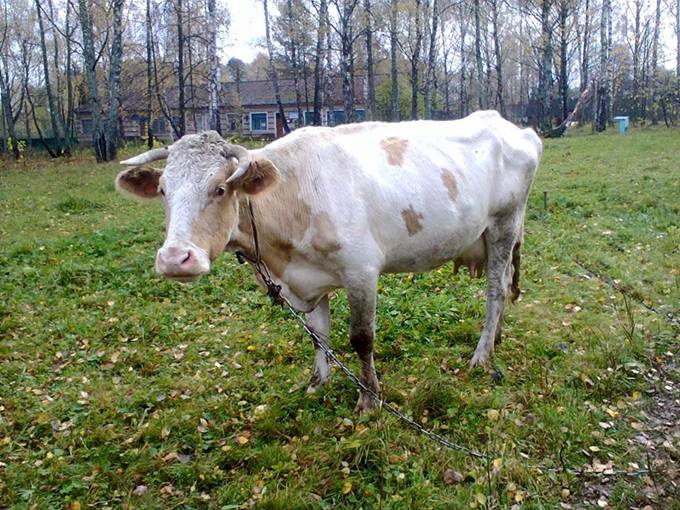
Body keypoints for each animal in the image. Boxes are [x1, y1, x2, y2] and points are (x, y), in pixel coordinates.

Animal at [115, 110, 542, 412]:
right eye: (163, 190)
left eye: (220, 189)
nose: (175, 258)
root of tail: (513, 126)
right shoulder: (306, 280)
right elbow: (317, 333)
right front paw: (317, 383)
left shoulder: (361, 271)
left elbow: (361, 339)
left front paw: (370, 398)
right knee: (506, 285)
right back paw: (495, 341)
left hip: (504, 226)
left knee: (495, 293)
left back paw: (481, 356)